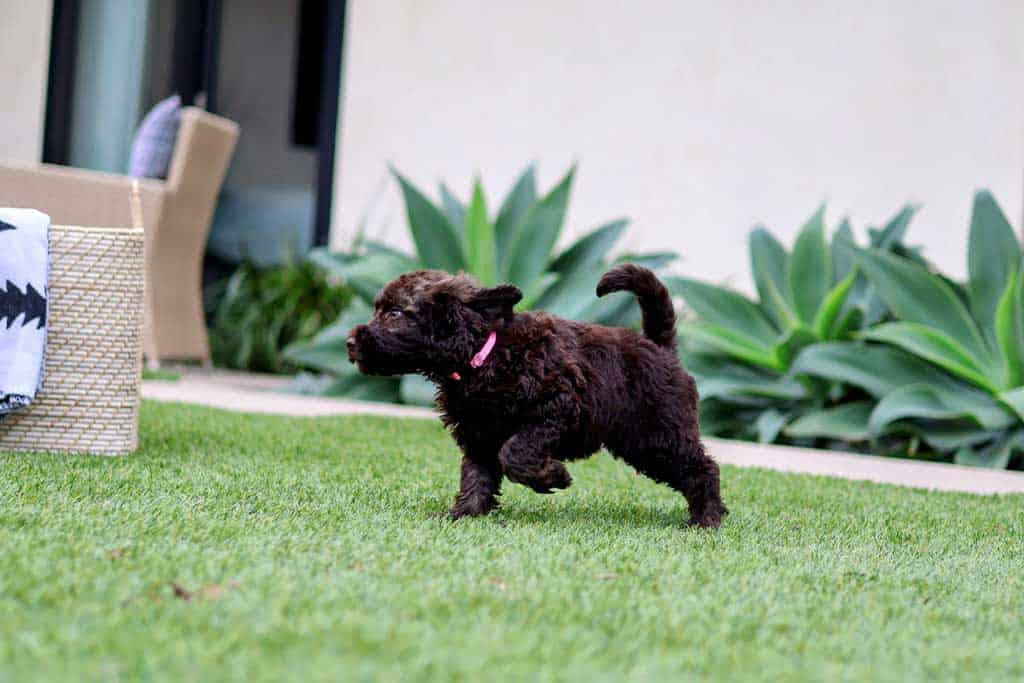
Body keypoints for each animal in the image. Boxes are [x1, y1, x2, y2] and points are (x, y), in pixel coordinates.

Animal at [350, 266, 729, 528]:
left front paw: (553, 476)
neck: (485, 352)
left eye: (395, 313)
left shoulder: (555, 409)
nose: (350, 342)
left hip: (659, 434)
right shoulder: (479, 434)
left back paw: (707, 518)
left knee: (703, 467)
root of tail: (660, 346)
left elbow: (514, 453)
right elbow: (476, 475)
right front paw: (465, 513)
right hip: (642, 443)